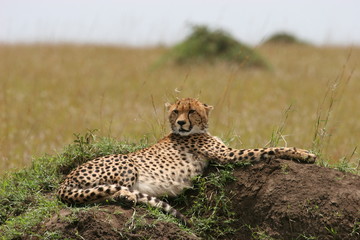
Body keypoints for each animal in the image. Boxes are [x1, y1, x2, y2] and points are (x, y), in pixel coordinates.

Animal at [57, 97, 316, 223]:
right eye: (175, 111)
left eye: (191, 111)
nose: (181, 122)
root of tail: (64, 181)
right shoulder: (228, 155)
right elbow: (270, 148)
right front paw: (305, 153)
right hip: (126, 163)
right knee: (113, 193)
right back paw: (134, 198)